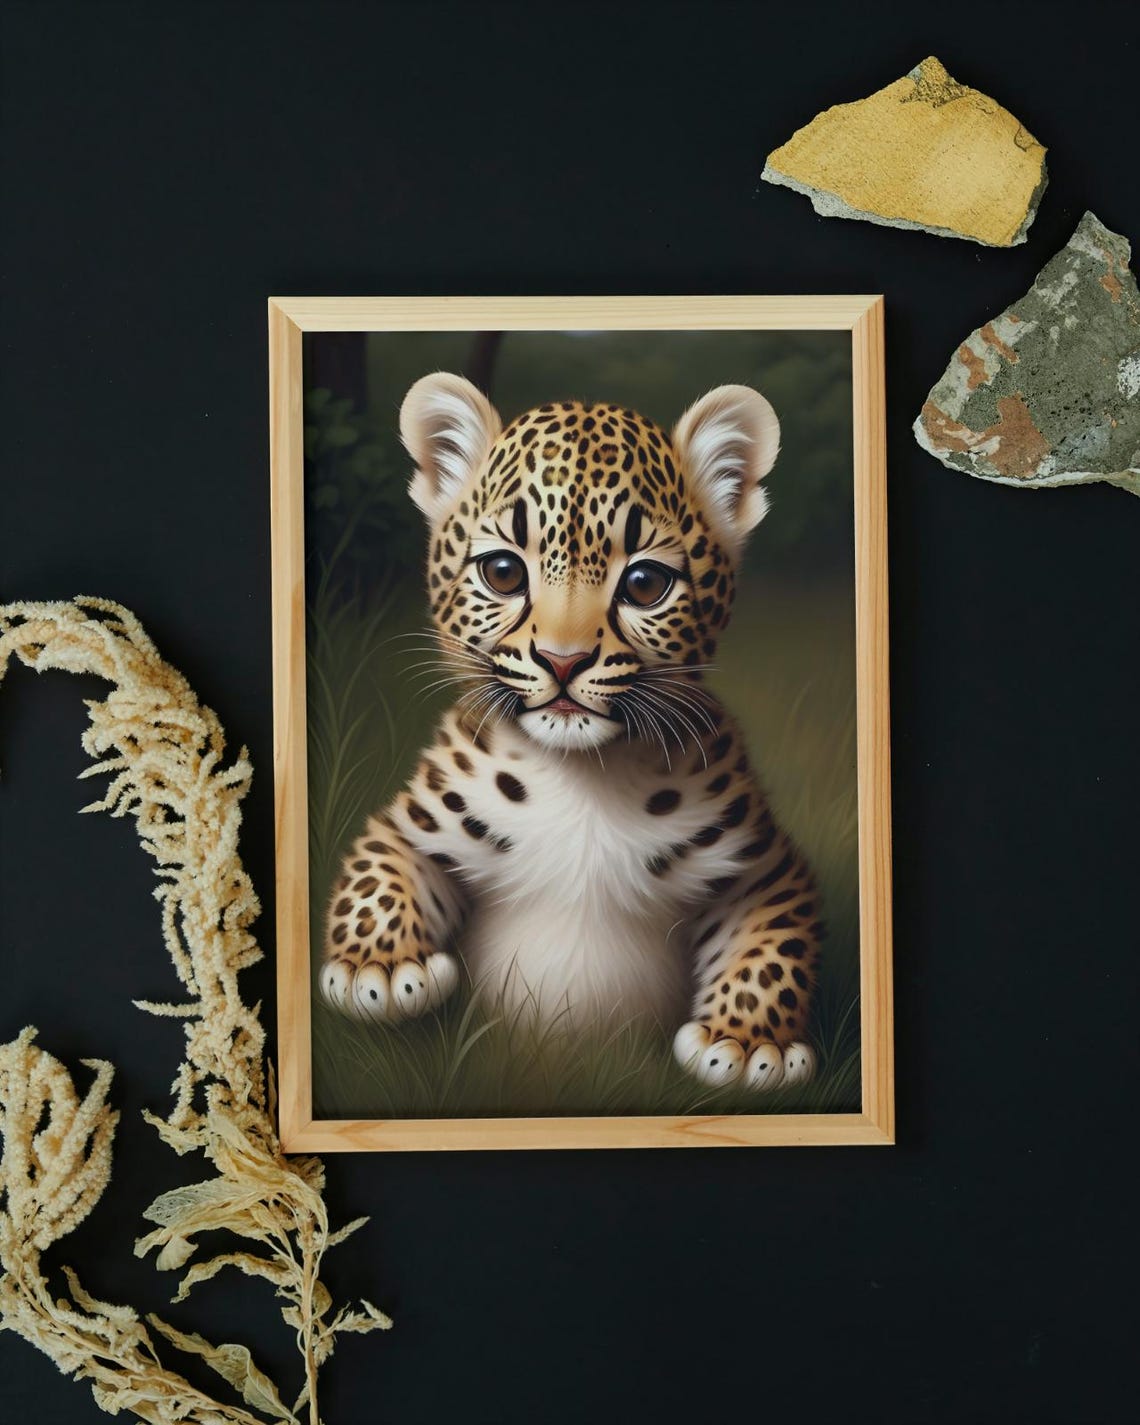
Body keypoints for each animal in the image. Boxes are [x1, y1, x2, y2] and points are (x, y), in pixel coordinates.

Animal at [320, 371, 822, 1090]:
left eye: (645, 582)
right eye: (503, 572)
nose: (562, 660)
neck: (582, 780)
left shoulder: (766, 867)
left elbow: (773, 941)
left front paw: (750, 1043)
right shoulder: (412, 822)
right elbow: (377, 871)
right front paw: (378, 970)